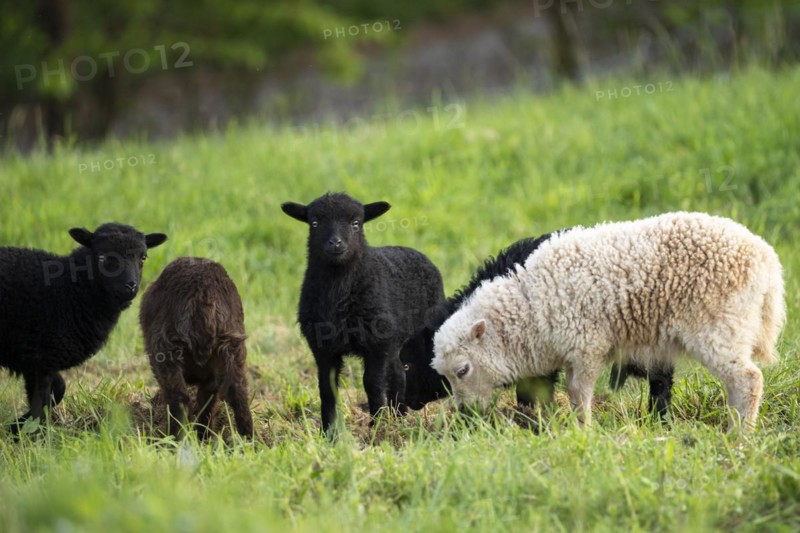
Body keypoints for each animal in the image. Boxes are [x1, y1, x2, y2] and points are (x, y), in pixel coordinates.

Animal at [0, 223, 167, 433]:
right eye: (102, 257)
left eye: (143, 257)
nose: (131, 286)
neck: (70, 290)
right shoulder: (38, 357)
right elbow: (41, 405)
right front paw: (28, 433)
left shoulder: (39, 360)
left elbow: (59, 389)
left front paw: (17, 426)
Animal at [139, 257, 253, 439]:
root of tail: (204, 295)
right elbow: (208, 402)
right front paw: (204, 437)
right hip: (232, 349)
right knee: (238, 393)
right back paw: (248, 440)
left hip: (165, 351)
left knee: (178, 398)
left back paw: (171, 439)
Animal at [282, 192, 445, 434]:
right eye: (315, 223)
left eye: (356, 223)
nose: (335, 243)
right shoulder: (323, 347)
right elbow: (326, 387)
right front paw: (328, 431)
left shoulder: (377, 342)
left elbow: (372, 382)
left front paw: (376, 425)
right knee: (398, 372)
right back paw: (399, 415)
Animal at [432, 212, 785, 431]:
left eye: (462, 370)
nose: (465, 413)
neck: (530, 304)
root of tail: (767, 260)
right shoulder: (571, 353)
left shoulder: (587, 344)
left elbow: (578, 392)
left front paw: (583, 430)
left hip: (719, 325)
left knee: (749, 379)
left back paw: (740, 435)